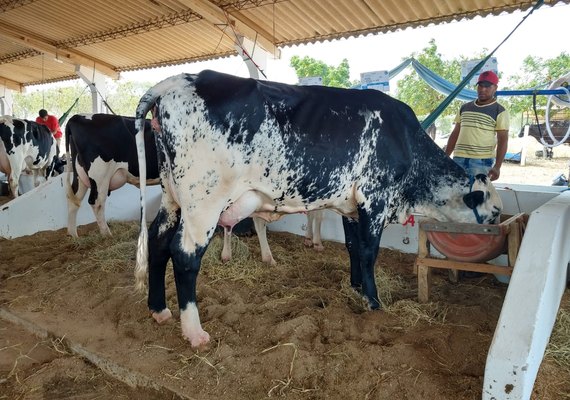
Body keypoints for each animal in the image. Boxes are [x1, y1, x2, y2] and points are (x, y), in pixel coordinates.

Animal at [131, 71, 500, 346]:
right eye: (495, 212)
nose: (497, 225)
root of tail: (180, 80)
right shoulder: (375, 198)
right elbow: (369, 251)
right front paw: (374, 301)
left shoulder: (352, 206)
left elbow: (353, 247)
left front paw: (356, 287)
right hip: (203, 200)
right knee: (185, 255)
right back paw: (194, 332)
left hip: (172, 197)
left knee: (158, 242)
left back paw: (158, 310)